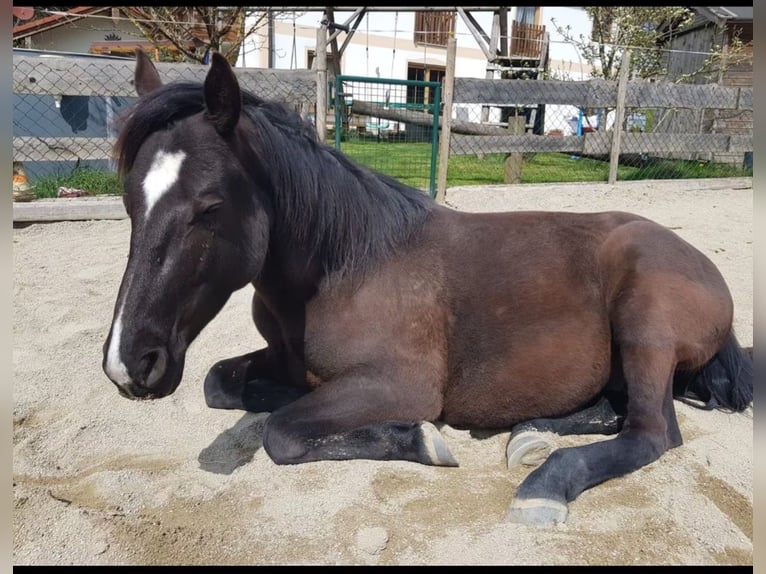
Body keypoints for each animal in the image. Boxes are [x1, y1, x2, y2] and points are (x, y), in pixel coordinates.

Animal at [102, 49, 752, 526]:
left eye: (209, 207)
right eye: (130, 202)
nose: (128, 365)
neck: (346, 266)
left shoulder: (400, 383)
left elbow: (282, 433)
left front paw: (419, 439)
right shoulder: (283, 356)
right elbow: (221, 384)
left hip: (644, 325)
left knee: (650, 430)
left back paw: (544, 486)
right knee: (613, 409)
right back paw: (530, 433)